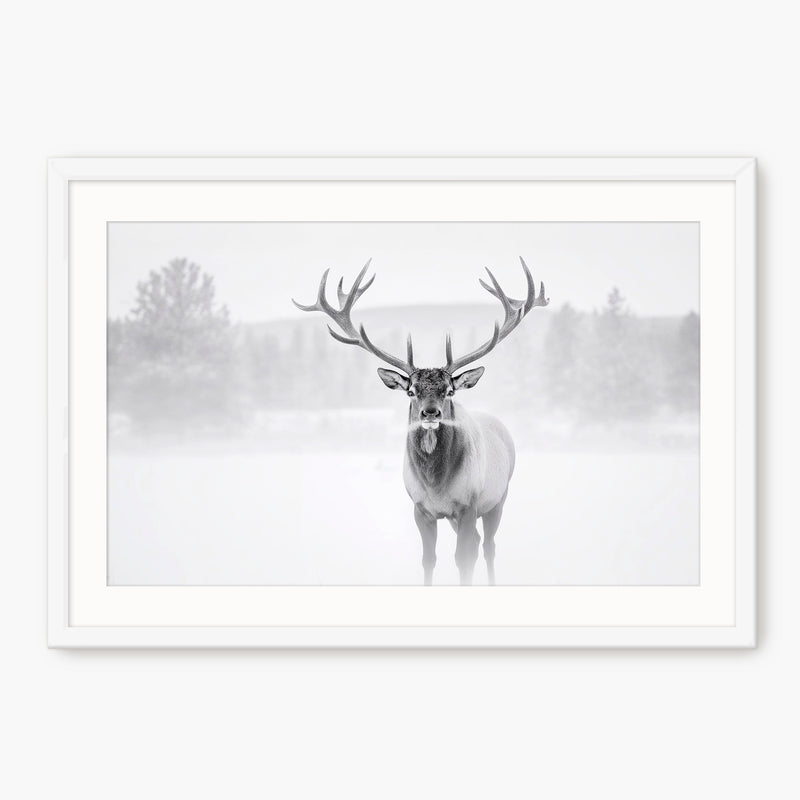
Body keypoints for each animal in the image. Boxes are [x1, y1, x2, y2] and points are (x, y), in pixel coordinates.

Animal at [293, 257, 548, 585]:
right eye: (411, 391)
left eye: (449, 390)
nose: (430, 413)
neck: (436, 485)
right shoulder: (420, 508)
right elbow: (429, 560)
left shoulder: (469, 504)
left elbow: (463, 559)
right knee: (480, 542)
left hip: (498, 497)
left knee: (488, 546)